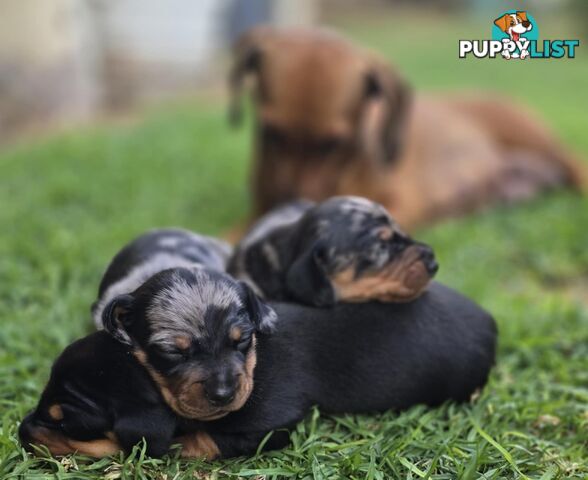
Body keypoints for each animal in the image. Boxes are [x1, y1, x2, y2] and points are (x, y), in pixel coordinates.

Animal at [19, 284, 496, 460]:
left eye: (67, 421)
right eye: (171, 352)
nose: (21, 431)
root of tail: (490, 319)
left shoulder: (272, 424)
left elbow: (207, 439)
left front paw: (180, 445)